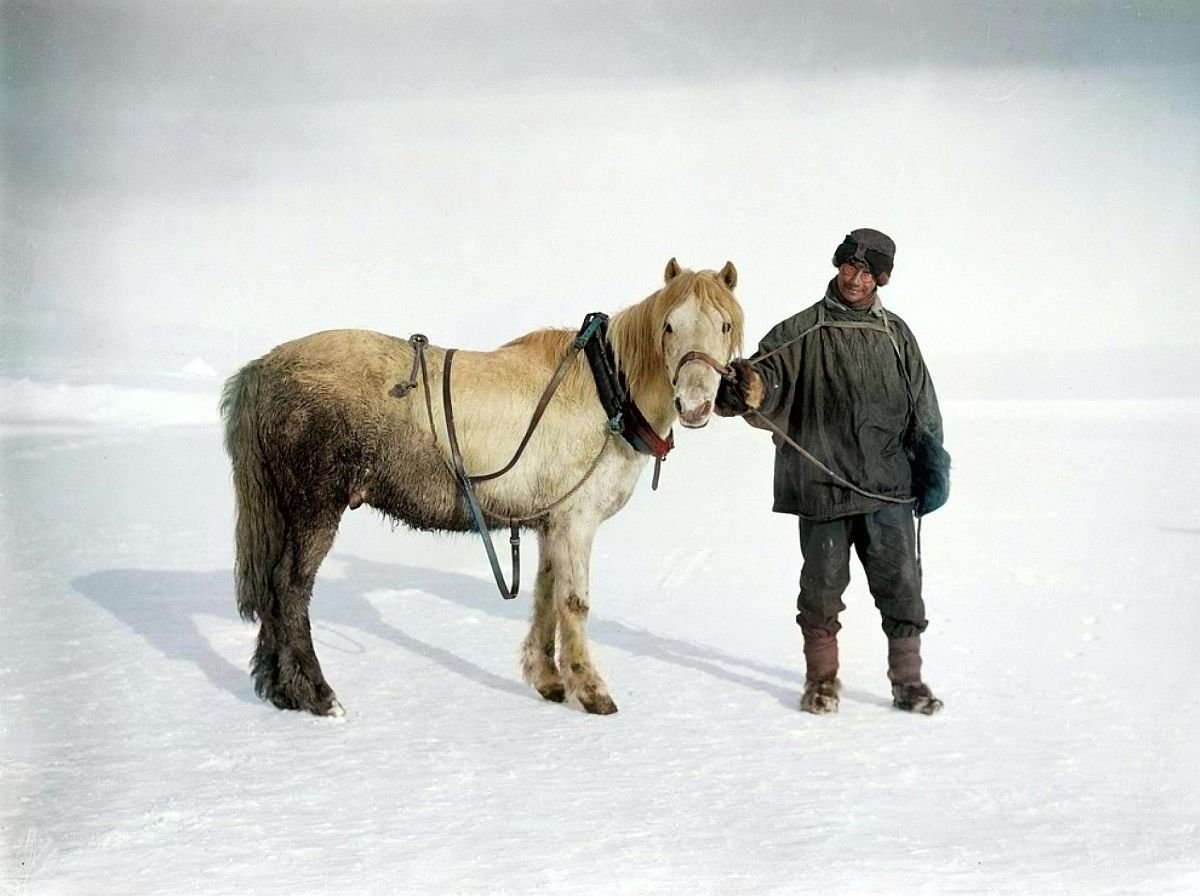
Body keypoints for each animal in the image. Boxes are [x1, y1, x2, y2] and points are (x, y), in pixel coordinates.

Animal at [217, 257, 739, 714]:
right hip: (314, 508)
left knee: (273, 591)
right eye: (669, 325)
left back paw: (282, 691)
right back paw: (318, 696)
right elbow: (574, 603)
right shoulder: (576, 522)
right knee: (290, 588)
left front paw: (548, 681)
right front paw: (591, 691)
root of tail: (264, 369)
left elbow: (546, 596)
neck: (606, 392)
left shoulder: (550, 523)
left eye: (725, 326)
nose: (694, 405)